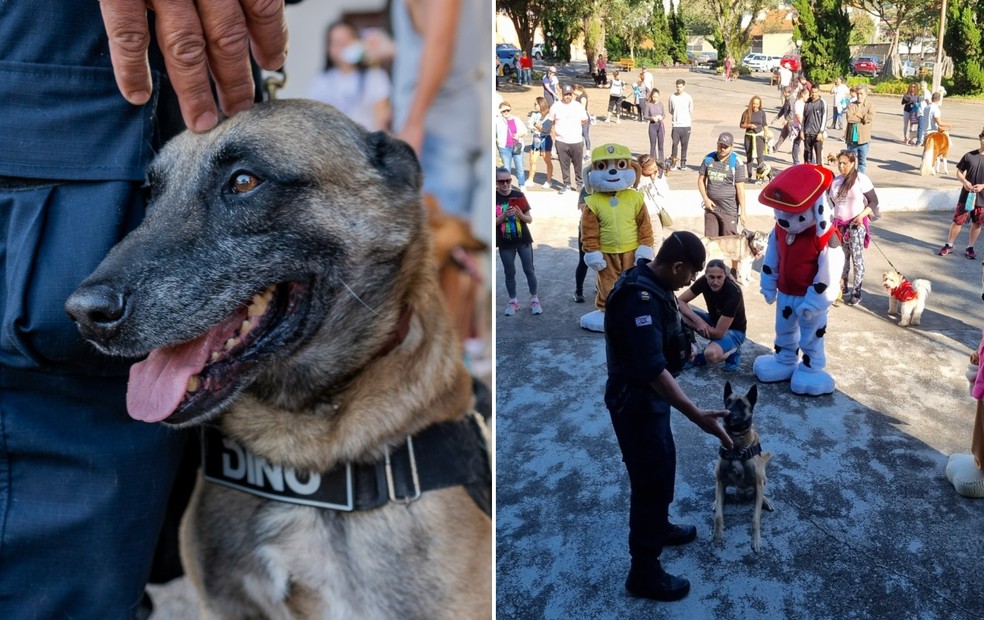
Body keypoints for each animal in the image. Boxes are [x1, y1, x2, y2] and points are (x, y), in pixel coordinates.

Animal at [712, 382, 772, 552]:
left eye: (741, 404)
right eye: (727, 402)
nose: (726, 415)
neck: (736, 445)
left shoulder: (757, 482)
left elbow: (755, 519)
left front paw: (756, 540)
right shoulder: (721, 481)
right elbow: (718, 515)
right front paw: (717, 535)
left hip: (761, 478)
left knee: (762, 489)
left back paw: (765, 500)